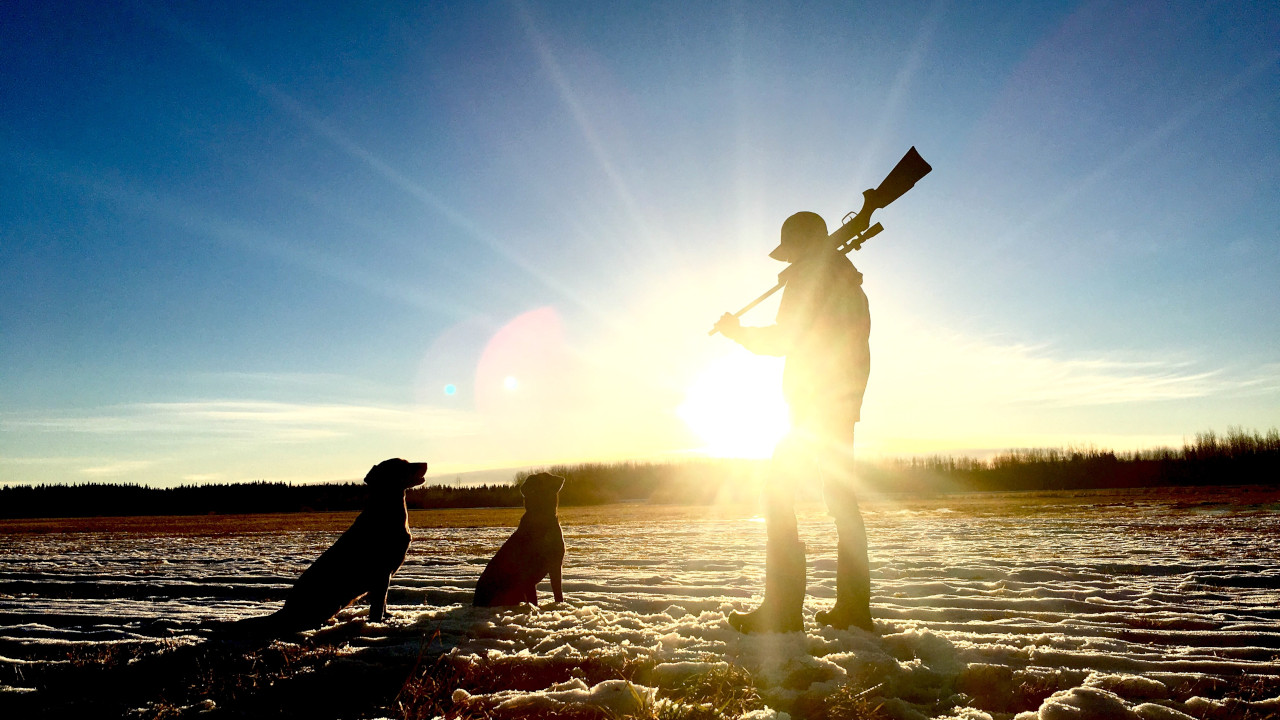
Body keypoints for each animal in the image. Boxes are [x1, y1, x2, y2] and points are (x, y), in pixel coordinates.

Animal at [235, 456, 424, 630]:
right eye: (403, 465)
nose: (426, 463)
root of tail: (284, 610)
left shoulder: (384, 577)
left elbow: (383, 602)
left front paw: (387, 617)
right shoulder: (381, 573)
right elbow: (377, 605)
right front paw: (377, 623)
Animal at [473, 471, 563, 604]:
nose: (561, 478)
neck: (541, 516)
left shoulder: (555, 565)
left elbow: (558, 593)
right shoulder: (528, 574)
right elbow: (533, 599)